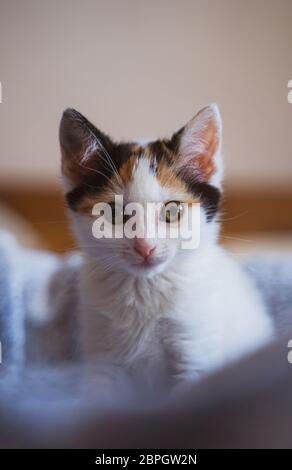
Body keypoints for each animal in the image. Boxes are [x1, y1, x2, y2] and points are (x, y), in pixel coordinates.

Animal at [59, 104, 274, 384]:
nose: (145, 246)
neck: (144, 287)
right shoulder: (101, 353)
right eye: (113, 213)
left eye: (172, 211)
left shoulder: (195, 346)